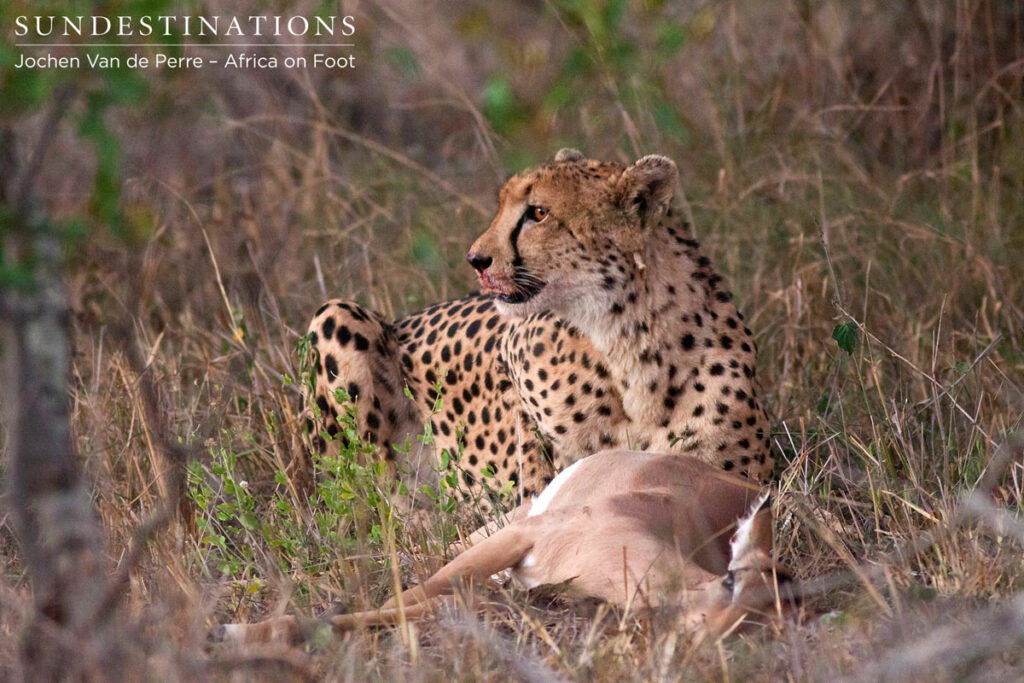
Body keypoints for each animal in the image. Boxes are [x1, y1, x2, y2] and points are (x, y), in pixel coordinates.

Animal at [215, 450, 795, 644]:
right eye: (731, 579)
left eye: (765, 620)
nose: (708, 637)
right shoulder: (518, 541)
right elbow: (397, 601)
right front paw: (239, 631)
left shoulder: (513, 590)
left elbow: (415, 608)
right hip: (498, 527)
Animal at [302, 149, 773, 505]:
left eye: (539, 213)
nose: (476, 259)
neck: (627, 346)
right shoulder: (511, 358)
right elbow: (532, 448)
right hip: (334, 315)